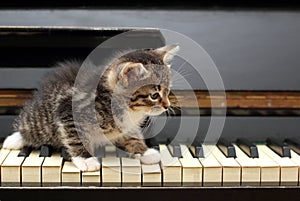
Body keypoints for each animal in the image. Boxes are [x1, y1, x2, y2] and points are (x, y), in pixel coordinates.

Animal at [2, 44, 178, 171]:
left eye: (168, 91)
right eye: (154, 95)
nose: (167, 106)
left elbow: (130, 135)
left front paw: (144, 151)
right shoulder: (69, 110)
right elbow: (75, 136)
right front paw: (86, 160)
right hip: (41, 121)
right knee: (30, 128)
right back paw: (14, 139)